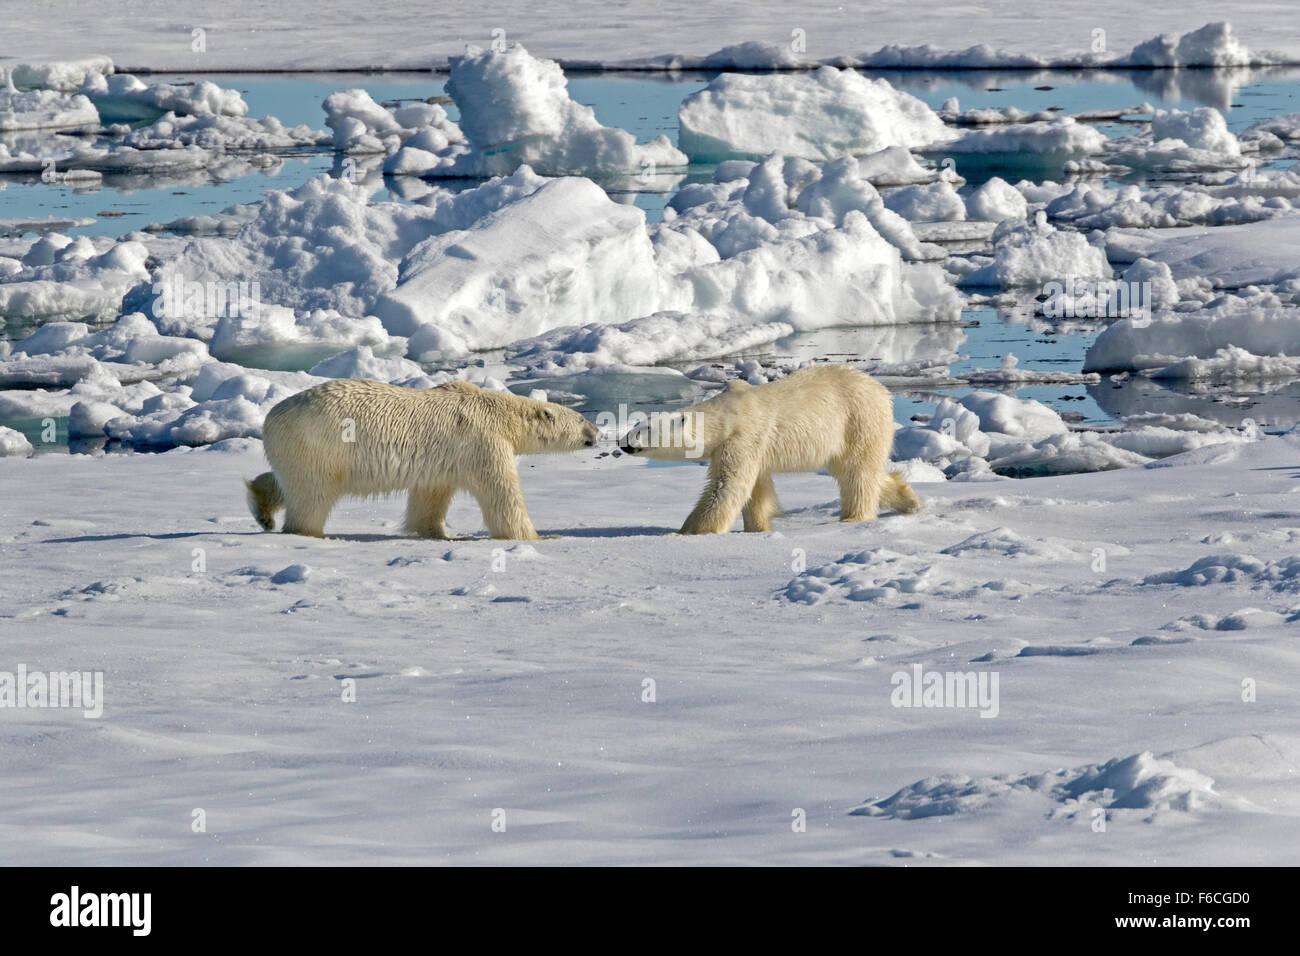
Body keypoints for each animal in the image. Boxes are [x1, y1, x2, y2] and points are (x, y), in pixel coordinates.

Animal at [245, 382, 600, 546]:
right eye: (582, 418)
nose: (597, 432)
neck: (498, 411)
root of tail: (270, 418)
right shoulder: (483, 441)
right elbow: (501, 492)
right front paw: (539, 537)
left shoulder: (445, 459)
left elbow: (430, 496)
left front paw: (439, 534)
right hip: (321, 444)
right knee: (313, 494)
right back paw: (309, 532)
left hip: (297, 449)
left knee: (286, 481)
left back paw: (261, 508)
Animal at [616, 364, 915, 535]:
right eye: (636, 424)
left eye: (644, 429)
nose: (623, 442)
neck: (727, 413)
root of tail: (881, 390)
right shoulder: (747, 448)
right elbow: (756, 490)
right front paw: (757, 528)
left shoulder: (743, 436)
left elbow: (726, 486)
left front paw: (689, 532)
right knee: (859, 471)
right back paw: (908, 500)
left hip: (857, 419)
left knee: (857, 472)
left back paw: (853, 518)